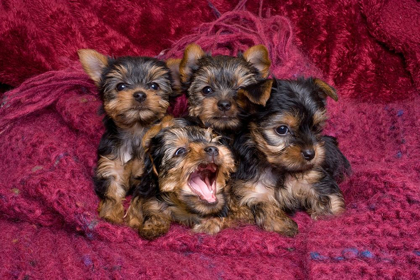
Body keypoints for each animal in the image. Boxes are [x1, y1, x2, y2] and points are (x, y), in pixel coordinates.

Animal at [78, 49, 175, 224]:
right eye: (120, 86)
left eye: (154, 85)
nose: (140, 94)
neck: (135, 129)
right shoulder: (111, 164)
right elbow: (111, 189)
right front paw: (111, 214)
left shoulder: (147, 174)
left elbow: (140, 198)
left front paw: (134, 220)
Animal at [231, 77, 350, 236]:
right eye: (282, 129)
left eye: (315, 127)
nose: (311, 153)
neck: (279, 168)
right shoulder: (251, 190)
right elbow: (264, 205)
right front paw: (285, 225)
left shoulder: (314, 177)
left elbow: (329, 198)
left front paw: (327, 215)